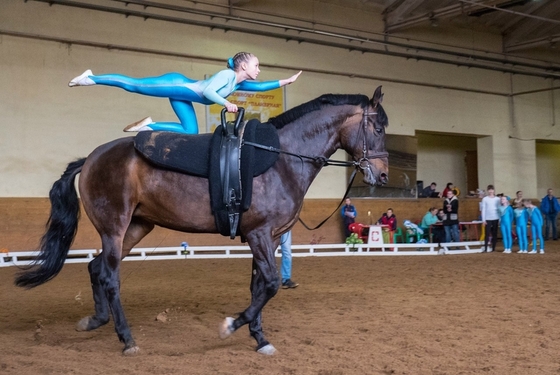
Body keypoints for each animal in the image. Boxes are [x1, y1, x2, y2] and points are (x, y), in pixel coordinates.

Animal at [14, 85, 390, 356]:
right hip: (114, 227)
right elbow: (269, 284)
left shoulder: (263, 237)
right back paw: (127, 338)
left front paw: (259, 338)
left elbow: (259, 286)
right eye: (376, 127)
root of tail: (92, 158)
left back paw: (97, 320)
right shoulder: (260, 234)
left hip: (136, 227)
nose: (383, 175)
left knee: (96, 268)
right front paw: (231, 326)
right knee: (108, 275)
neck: (280, 159)